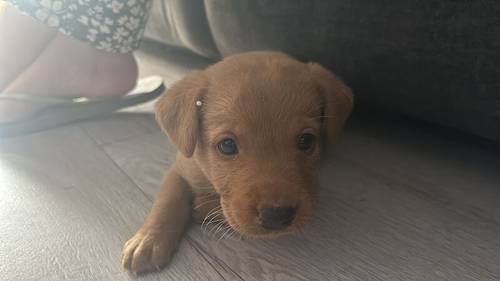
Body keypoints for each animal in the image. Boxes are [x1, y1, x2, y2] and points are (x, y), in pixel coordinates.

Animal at [121, 51, 354, 272]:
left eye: (307, 140)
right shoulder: (180, 167)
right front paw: (148, 240)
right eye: (227, 145)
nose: (276, 216)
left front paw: (203, 207)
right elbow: (167, 199)